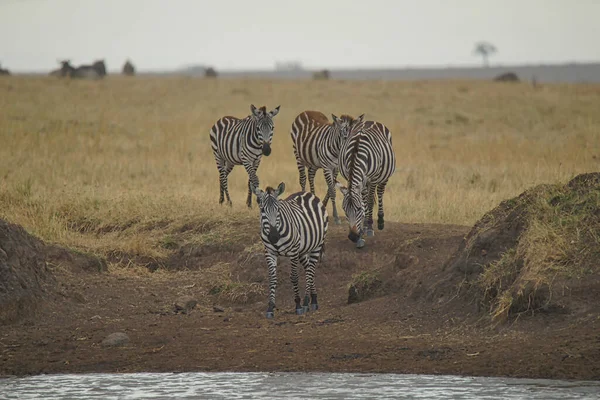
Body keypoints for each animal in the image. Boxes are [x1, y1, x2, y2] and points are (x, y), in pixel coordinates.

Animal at [252, 182, 328, 318]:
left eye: (278, 210)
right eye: (262, 210)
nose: (274, 237)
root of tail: (307, 193)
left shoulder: (293, 251)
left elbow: (294, 277)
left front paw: (298, 305)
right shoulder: (269, 252)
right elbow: (272, 278)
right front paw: (270, 307)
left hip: (316, 245)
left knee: (311, 270)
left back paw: (306, 302)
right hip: (302, 250)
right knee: (308, 269)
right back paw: (313, 299)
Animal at [336, 117, 396, 247]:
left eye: (359, 209)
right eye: (344, 210)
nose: (352, 237)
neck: (356, 153)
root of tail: (370, 121)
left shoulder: (373, 178)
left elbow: (368, 202)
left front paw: (368, 228)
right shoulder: (351, 176)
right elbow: (364, 201)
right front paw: (361, 233)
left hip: (384, 176)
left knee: (379, 193)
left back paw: (379, 221)